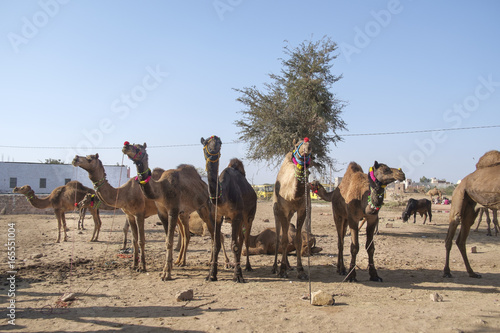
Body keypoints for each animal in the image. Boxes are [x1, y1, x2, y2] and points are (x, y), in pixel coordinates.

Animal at [123, 141, 217, 280]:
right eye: (133, 144)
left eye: (139, 149)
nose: (125, 146)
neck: (160, 190)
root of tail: (205, 186)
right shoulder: (161, 213)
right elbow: (168, 239)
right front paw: (168, 268)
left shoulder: (173, 210)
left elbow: (169, 241)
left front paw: (166, 273)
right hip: (193, 211)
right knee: (198, 234)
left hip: (206, 208)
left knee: (213, 233)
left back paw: (216, 263)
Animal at [200, 134, 258, 282]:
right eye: (206, 143)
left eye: (219, 143)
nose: (213, 150)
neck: (221, 198)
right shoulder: (216, 217)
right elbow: (216, 244)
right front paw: (211, 274)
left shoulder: (236, 215)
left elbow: (235, 245)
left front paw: (238, 276)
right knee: (241, 238)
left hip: (249, 216)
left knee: (246, 239)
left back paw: (247, 267)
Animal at [272, 136, 314, 278]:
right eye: (297, 145)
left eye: (311, 143)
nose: (307, 148)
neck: (293, 194)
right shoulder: (282, 210)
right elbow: (284, 240)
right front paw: (282, 270)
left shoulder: (303, 210)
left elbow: (298, 240)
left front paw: (301, 270)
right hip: (276, 212)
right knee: (278, 238)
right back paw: (275, 267)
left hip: (289, 214)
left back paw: (289, 265)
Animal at [446, 150, 500, 278]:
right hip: (459, 195)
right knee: (452, 232)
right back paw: (447, 272)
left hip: (470, 206)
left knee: (461, 239)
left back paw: (472, 272)